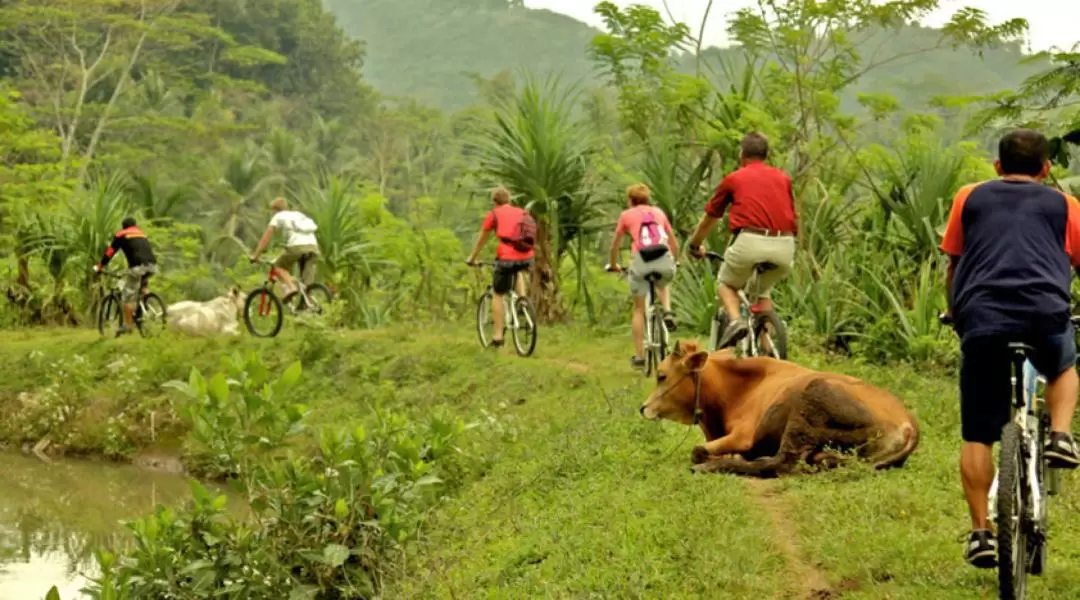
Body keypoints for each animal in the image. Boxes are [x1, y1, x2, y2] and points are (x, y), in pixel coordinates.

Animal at [639, 338, 920, 474]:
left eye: (661, 375)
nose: (643, 408)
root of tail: (909, 425)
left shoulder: (743, 437)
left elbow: (697, 450)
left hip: (810, 401)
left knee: (779, 464)